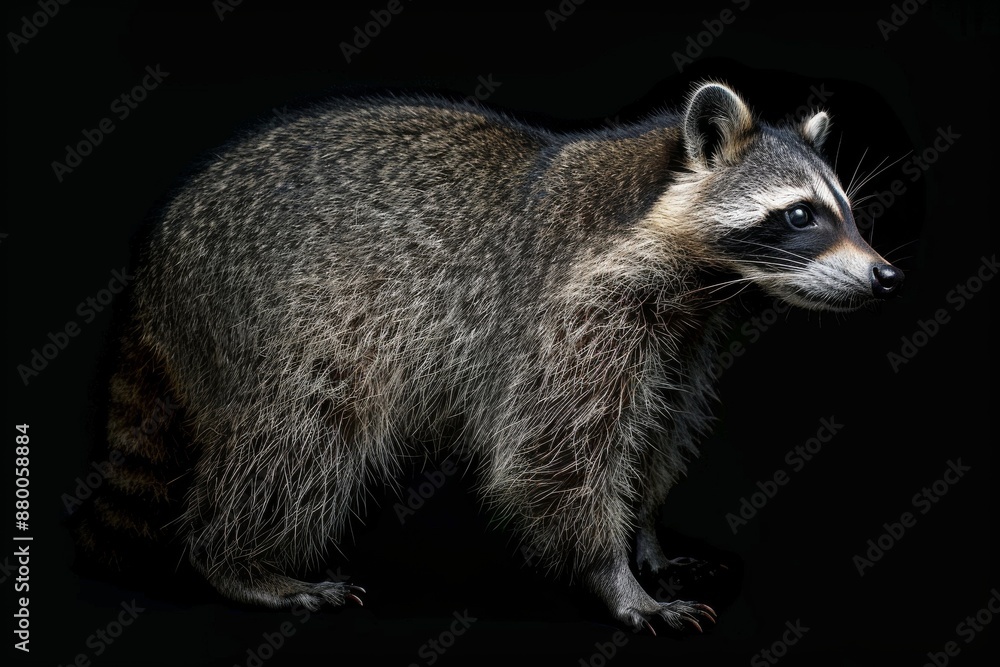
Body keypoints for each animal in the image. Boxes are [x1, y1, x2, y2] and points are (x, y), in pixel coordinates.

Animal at [76, 81, 902, 633]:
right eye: (800, 214)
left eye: (850, 212)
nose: (886, 276)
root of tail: (153, 267)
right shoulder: (566, 317)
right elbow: (557, 456)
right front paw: (615, 576)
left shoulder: (680, 339)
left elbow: (654, 432)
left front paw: (646, 534)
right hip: (278, 317)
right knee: (300, 434)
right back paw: (236, 558)